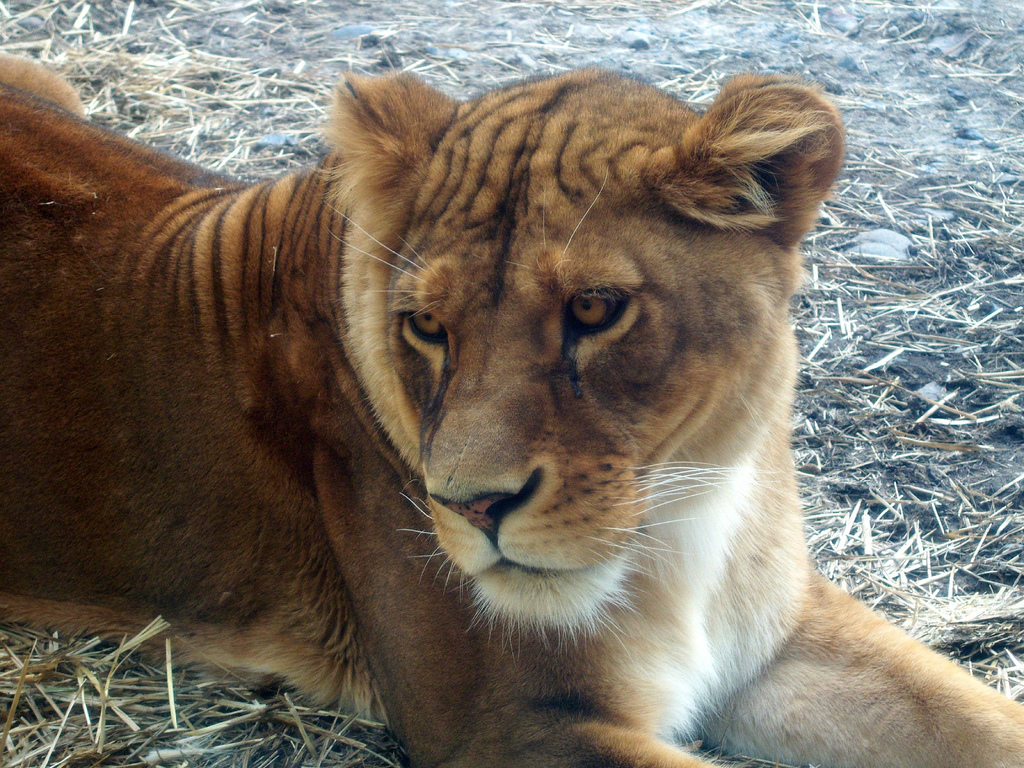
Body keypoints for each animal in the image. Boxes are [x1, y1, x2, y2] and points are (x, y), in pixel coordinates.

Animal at [1, 56, 1022, 768]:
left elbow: (975, 716)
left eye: (595, 310)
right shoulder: (511, 726)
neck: (683, 517)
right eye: (425, 327)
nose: (472, 506)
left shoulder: (780, 638)